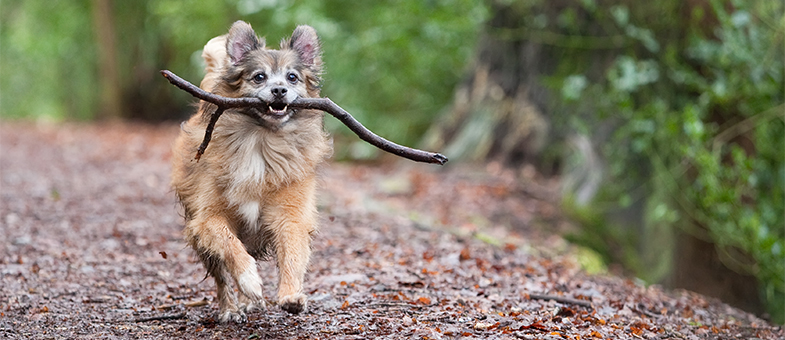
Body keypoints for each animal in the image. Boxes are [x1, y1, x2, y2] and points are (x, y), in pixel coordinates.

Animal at [170, 19, 330, 322]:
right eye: (259, 77)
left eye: (292, 77)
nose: (279, 90)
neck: (262, 141)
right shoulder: (208, 218)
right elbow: (231, 249)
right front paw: (250, 281)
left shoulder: (291, 215)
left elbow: (292, 254)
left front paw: (291, 294)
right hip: (198, 233)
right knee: (221, 274)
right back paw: (231, 308)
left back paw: (248, 303)